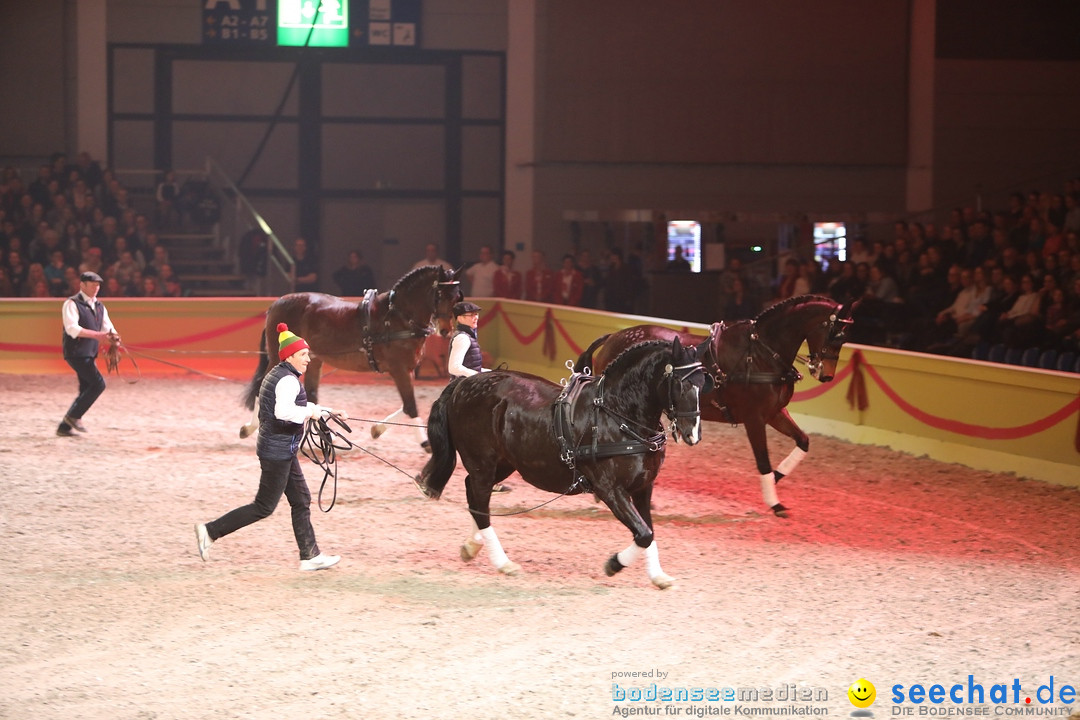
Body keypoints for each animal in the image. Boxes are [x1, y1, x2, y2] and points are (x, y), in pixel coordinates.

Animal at [238, 264, 462, 446]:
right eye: (440, 295)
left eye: (457, 296)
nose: (446, 330)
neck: (398, 318)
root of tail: (275, 304)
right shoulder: (398, 369)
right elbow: (411, 406)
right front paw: (425, 443)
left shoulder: (408, 369)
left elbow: (407, 406)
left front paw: (377, 429)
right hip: (278, 357)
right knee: (263, 387)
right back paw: (249, 428)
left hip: (313, 360)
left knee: (310, 394)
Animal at [412, 334, 708, 587]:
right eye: (680, 383)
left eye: (703, 383)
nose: (692, 433)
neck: (617, 414)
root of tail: (462, 384)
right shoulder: (610, 489)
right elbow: (643, 533)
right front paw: (613, 564)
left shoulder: (643, 487)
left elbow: (648, 532)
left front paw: (658, 576)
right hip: (482, 463)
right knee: (479, 501)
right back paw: (503, 563)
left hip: (504, 463)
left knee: (474, 497)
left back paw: (472, 547)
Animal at [578, 293, 855, 518]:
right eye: (834, 334)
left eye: (845, 338)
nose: (825, 375)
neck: (761, 355)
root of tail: (613, 336)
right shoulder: (754, 418)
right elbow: (763, 461)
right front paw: (774, 503)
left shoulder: (774, 413)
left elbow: (803, 441)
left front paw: (776, 480)